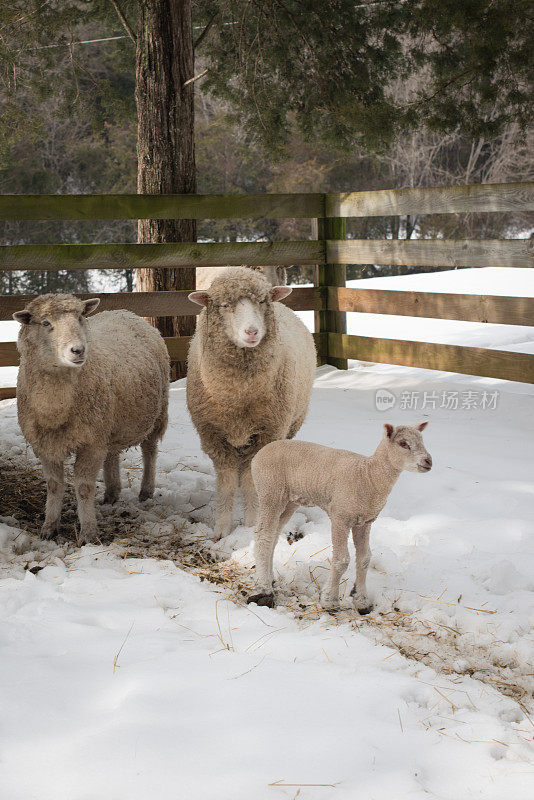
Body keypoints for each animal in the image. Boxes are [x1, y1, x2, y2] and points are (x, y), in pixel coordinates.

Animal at [13, 294, 170, 544]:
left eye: (80, 317)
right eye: (45, 323)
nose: (78, 350)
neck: (56, 408)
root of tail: (125, 311)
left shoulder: (90, 443)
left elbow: (84, 488)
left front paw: (88, 533)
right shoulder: (45, 445)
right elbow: (53, 486)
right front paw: (49, 527)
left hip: (156, 414)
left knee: (150, 451)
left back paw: (146, 491)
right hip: (109, 420)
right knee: (112, 453)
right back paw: (112, 493)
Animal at [186, 268, 316, 536]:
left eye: (263, 301)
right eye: (224, 305)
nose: (252, 332)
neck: (239, 395)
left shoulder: (267, 433)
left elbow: (250, 483)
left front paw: (251, 525)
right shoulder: (213, 435)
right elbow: (226, 483)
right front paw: (222, 529)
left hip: (291, 423)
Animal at [249, 424, 434, 612]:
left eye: (422, 440)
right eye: (403, 443)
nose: (428, 462)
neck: (369, 475)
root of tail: (262, 451)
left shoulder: (365, 522)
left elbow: (365, 559)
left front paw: (361, 600)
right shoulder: (340, 517)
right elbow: (342, 561)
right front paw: (329, 600)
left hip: (289, 501)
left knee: (273, 536)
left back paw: (268, 578)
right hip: (270, 491)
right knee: (263, 537)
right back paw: (264, 589)